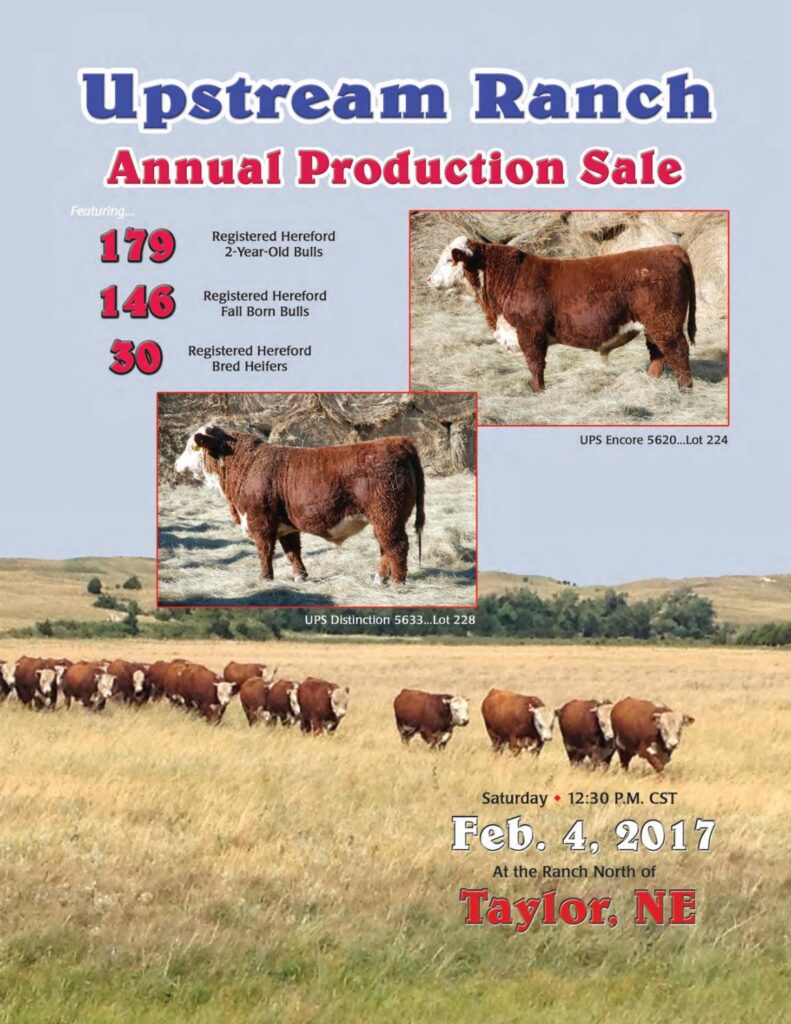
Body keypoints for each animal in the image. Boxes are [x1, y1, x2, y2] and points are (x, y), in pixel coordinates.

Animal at [174, 425, 426, 586]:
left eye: (190, 447)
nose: (176, 464)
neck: (247, 464)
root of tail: (397, 442)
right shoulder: (286, 526)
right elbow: (292, 552)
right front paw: (300, 577)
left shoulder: (260, 521)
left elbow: (264, 551)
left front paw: (265, 578)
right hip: (384, 520)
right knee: (385, 548)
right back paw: (379, 579)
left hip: (387, 516)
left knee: (397, 547)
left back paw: (397, 582)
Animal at [427, 237, 697, 391]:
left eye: (450, 260)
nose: (428, 279)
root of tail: (670, 248)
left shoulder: (530, 332)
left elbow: (535, 364)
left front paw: (537, 390)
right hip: (654, 325)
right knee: (658, 354)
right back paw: (650, 382)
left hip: (665, 322)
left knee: (678, 352)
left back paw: (685, 388)